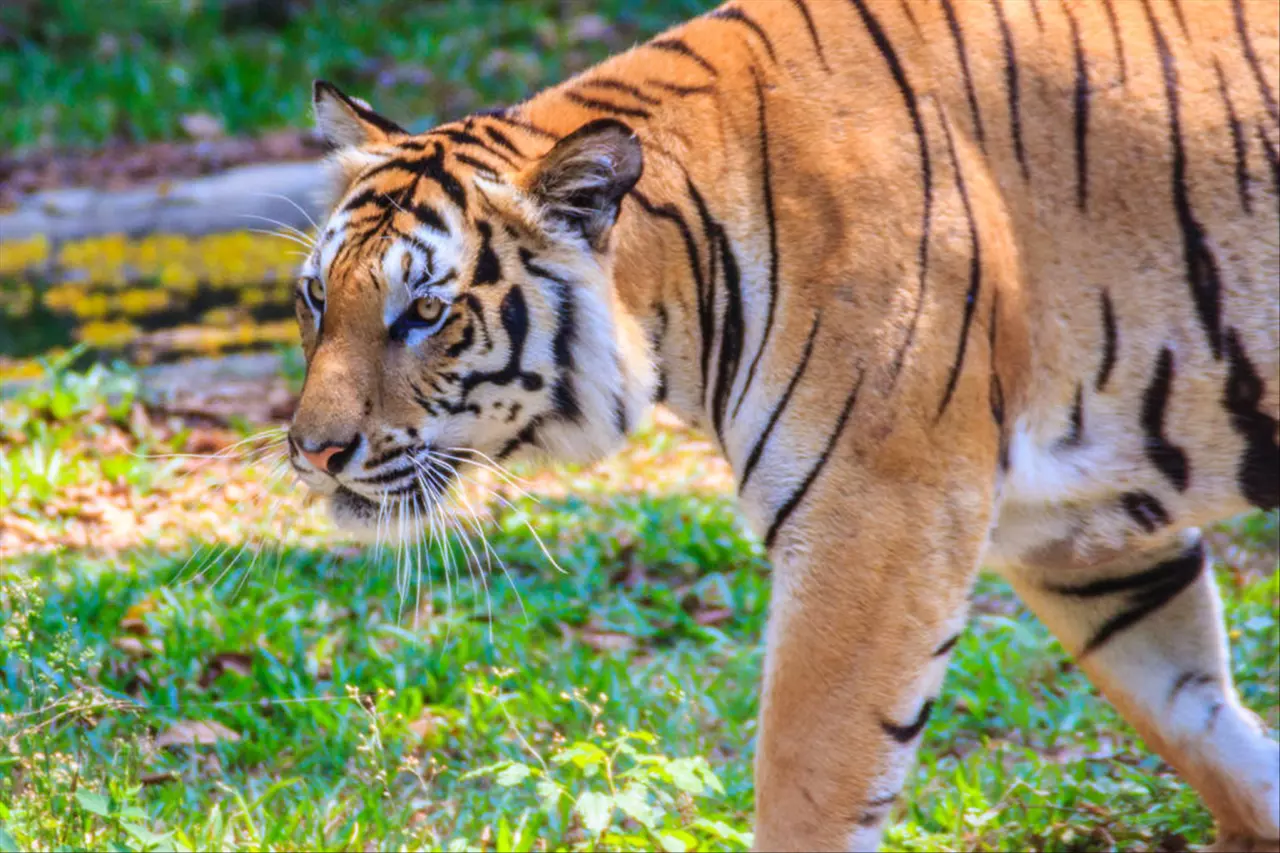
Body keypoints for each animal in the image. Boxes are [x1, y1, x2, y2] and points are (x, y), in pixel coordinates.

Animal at [288, 0, 1280, 845]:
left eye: (424, 313)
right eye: (316, 298)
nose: (311, 450)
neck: (679, 290)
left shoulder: (877, 520)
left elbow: (811, 779)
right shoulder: (1078, 527)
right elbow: (1196, 709)